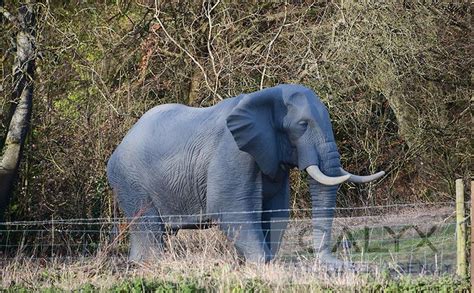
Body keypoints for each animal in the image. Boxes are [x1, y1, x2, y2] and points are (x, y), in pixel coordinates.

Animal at [105, 84, 384, 262]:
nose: (341, 263)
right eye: (302, 125)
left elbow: (275, 210)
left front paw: (266, 264)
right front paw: (261, 264)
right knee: (149, 227)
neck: (264, 98)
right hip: (130, 182)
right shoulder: (232, 152)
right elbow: (229, 207)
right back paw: (150, 265)